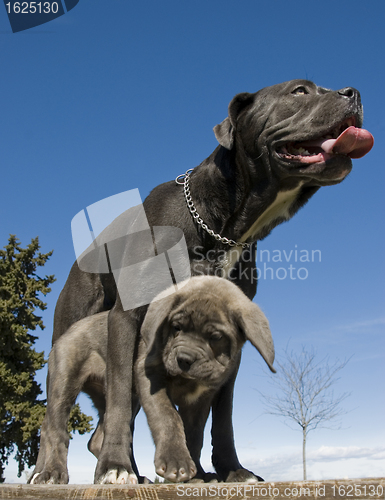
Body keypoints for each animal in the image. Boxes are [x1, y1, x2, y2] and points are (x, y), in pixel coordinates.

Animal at [31, 278, 274, 484]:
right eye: (176, 327)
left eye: (216, 337)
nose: (184, 359)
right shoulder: (148, 375)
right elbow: (168, 417)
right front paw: (176, 462)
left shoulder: (200, 400)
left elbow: (195, 436)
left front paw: (195, 474)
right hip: (65, 381)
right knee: (54, 428)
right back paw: (51, 473)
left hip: (123, 397)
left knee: (100, 435)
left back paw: (135, 476)